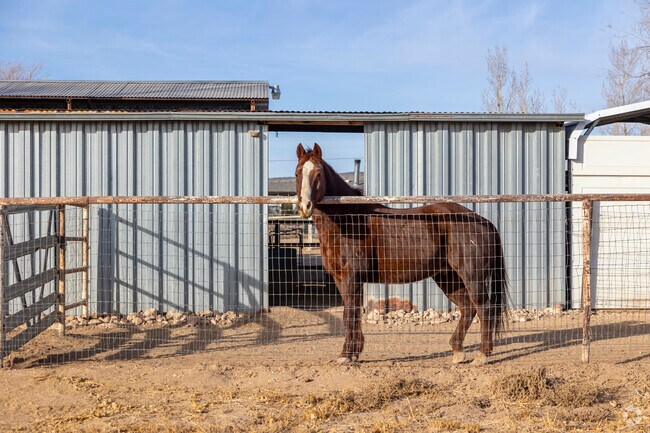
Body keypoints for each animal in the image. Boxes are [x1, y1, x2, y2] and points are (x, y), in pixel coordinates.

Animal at [294, 143, 509, 366]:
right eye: (297, 173)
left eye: (318, 173)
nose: (304, 207)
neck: (350, 222)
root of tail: (483, 221)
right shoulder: (341, 279)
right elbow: (352, 314)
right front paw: (354, 352)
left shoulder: (352, 278)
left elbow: (349, 314)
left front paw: (346, 355)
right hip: (448, 278)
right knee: (468, 308)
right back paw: (458, 352)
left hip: (472, 276)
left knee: (484, 308)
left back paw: (482, 355)